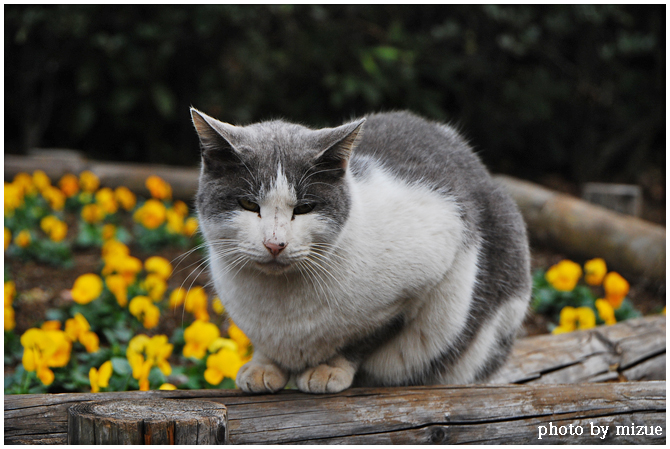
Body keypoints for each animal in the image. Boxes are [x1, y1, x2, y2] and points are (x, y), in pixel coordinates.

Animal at [192, 107, 532, 392]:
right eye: (249, 204)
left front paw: (329, 368)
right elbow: (265, 346)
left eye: (304, 208)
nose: (275, 243)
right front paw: (263, 367)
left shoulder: (420, 282)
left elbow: (364, 338)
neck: (281, 307)